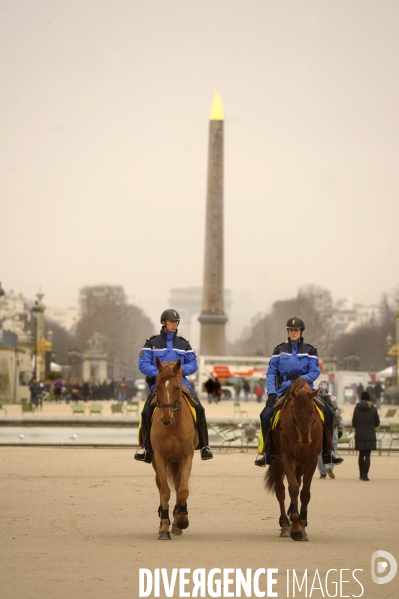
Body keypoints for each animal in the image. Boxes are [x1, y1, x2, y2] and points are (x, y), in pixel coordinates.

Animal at [151, 358, 199, 540]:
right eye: (158, 387)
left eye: (176, 388)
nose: (166, 418)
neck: (173, 427)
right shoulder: (160, 458)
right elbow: (165, 491)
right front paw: (164, 527)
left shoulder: (186, 458)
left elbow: (183, 490)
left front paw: (182, 520)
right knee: (160, 485)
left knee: (179, 486)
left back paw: (178, 518)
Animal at [266, 380, 324, 544]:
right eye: (295, 412)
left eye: (312, 411)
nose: (305, 440)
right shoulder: (287, 458)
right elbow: (292, 489)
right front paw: (296, 530)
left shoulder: (311, 460)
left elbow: (304, 492)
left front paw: (302, 526)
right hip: (276, 461)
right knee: (281, 491)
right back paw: (286, 524)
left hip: (300, 465)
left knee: (298, 483)